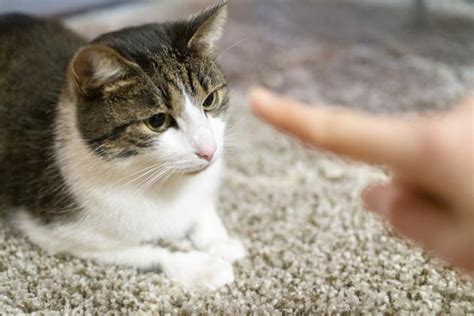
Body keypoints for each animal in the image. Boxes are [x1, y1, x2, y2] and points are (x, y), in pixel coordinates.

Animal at [0, 1, 244, 292]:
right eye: (157, 121)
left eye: (209, 100)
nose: (208, 150)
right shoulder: (58, 231)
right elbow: (147, 251)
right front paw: (200, 266)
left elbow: (203, 211)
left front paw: (220, 242)